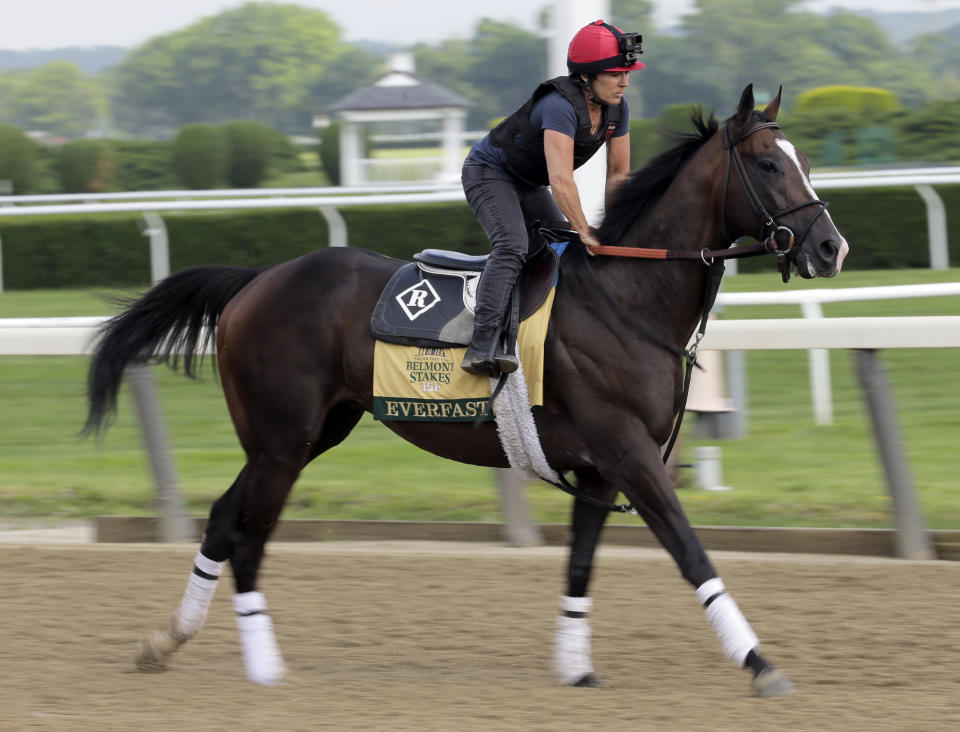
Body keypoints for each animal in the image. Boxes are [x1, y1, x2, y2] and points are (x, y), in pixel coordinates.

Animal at [84, 84, 848, 692]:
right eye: (769, 164)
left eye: (806, 161)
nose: (830, 248)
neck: (630, 297)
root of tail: (255, 281)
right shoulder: (629, 454)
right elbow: (692, 551)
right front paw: (759, 662)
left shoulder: (601, 470)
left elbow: (580, 565)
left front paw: (576, 666)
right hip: (282, 441)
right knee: (248, 537)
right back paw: (265, 667)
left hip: (301, 437)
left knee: (221, 518)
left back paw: (166, 640)